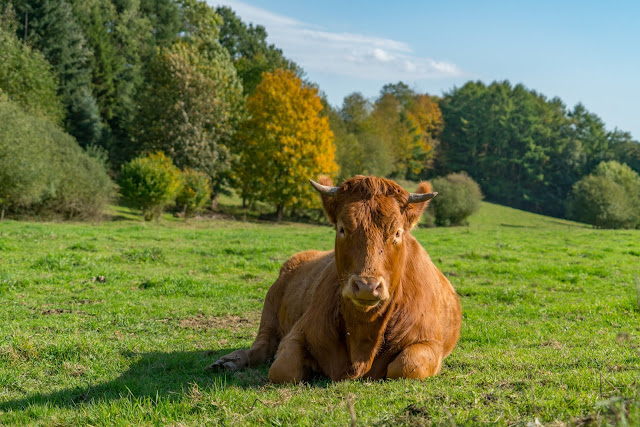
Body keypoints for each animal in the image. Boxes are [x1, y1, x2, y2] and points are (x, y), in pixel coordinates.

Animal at [210, 176, 460, 382]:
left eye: (397, 233)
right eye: (342, 228)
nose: (366, 286)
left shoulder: (430, 342)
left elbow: (407, 366)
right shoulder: (299, 332)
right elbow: (283, 369)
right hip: (269, 312)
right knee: (262, 346)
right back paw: (229, 361)